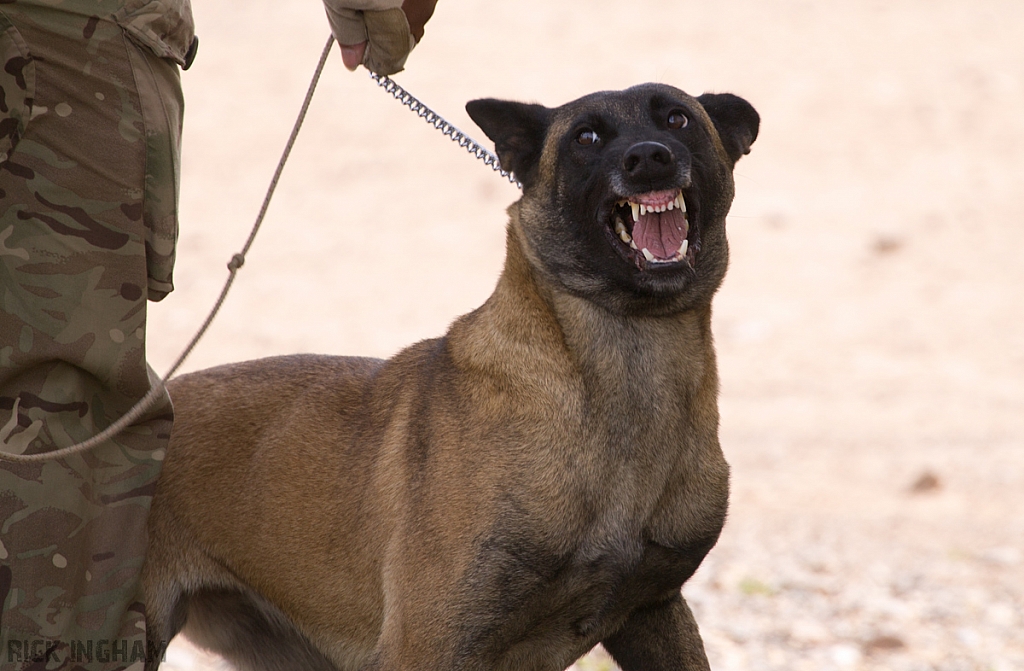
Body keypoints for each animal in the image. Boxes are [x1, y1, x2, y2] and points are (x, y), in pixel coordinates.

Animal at [140, 84, 757, 671]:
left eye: (676, 118)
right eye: (586, 137)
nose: (649, 158)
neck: (625, 368)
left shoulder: (654, 610)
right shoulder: (429, 645)